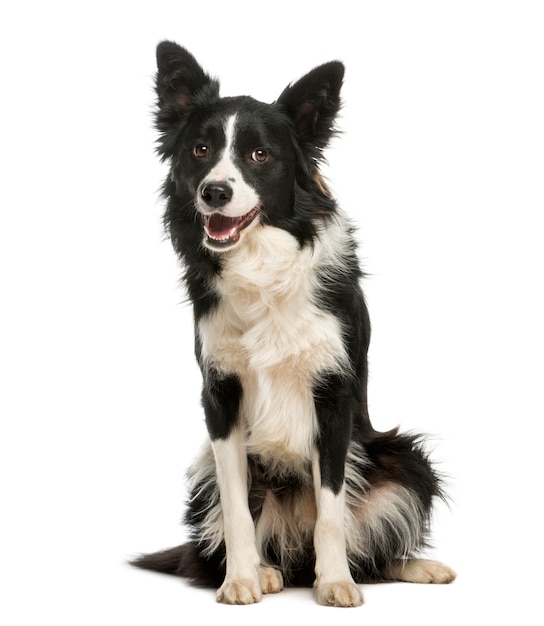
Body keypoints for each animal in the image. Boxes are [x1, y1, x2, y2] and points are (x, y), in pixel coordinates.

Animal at [134, 42, 456, 604]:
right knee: (216, 549)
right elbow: (237, 510)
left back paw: (411, 566)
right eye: (200, 150)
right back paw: (265, 570)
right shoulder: (220, 396)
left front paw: (336, 583)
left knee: (368, 550)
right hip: (203, 472)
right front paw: (241, 579)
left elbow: (331, 511)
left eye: (260, 155)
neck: (261, 266)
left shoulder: (333, 395)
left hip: (400, 456)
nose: (214, 192)